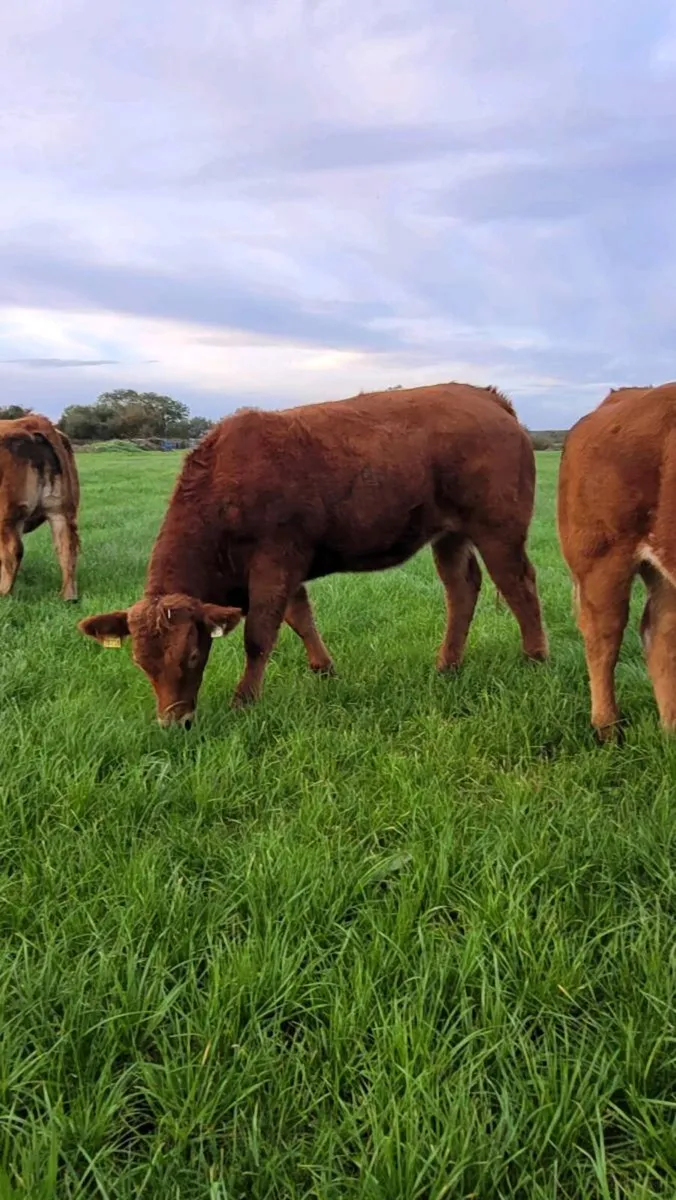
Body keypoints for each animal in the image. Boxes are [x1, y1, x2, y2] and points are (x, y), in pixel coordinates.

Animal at [0, 414, 80, 600]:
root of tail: (32, 421)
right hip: (61, 510)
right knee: (67, 546)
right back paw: (68, 596)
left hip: (6, 511)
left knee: (13, 549)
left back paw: (3, 593)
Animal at [78, 382, 548, 727]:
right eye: (141, 663)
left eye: (192, 656)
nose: (174, 723)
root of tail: (485, 396)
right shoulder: (287, 570)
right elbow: (300, 617)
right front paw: (324, 669)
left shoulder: (274, 563)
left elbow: (259, 636)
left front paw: (244, 700)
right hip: (449, 536)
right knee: (461, 589)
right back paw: (447, 664)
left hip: (499, 530)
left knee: (519, 585)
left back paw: (534, 658)